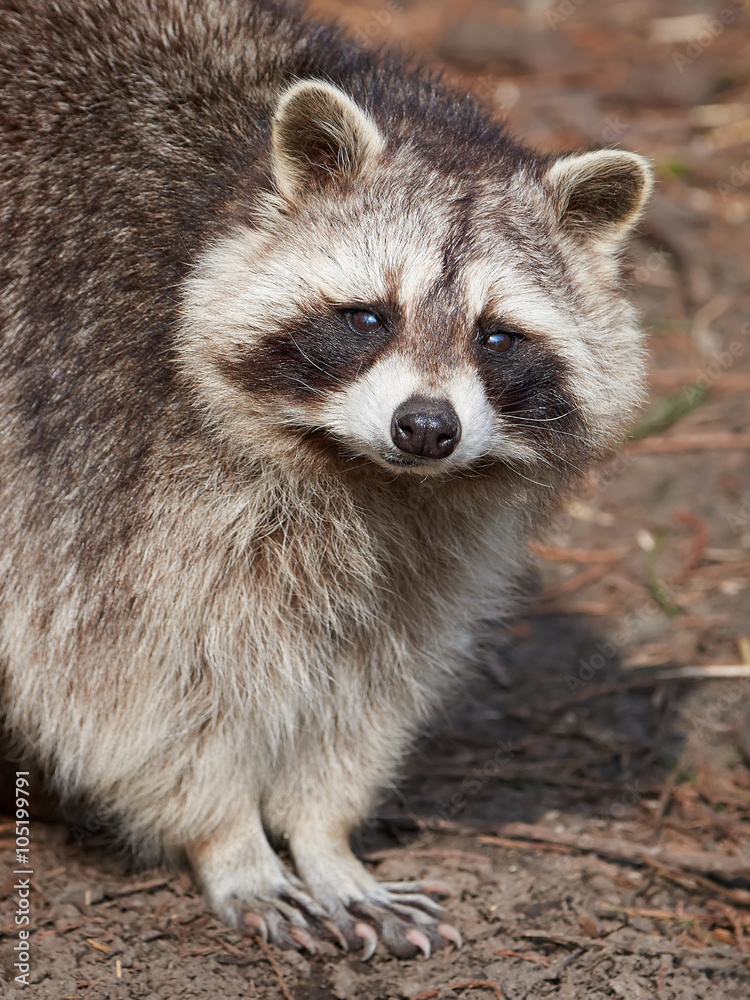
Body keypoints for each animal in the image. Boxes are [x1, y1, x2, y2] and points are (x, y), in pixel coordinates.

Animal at [0, 0, 652, 956]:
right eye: (367, 317)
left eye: (497, 337)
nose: (426, 428)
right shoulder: (93, 442)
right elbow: (116, 679)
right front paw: (228, 835)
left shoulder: (428, 538)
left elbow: (372, 671)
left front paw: (323, 832)